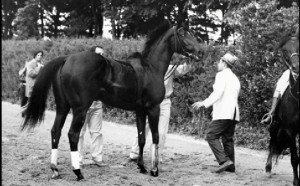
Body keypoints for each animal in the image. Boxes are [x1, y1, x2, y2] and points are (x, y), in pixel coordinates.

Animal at [21, 20, 202, 180]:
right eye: (183, 33)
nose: (199, 52)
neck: (151, 68)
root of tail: (67, 59)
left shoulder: (140, 111)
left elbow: (141, 138)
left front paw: (142, 167)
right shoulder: (153, 108)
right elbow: (155, 137)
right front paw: (154, 170)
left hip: (63, 107)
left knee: (55, 132)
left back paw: (55, 169)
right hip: (80, 109)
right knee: (72, 134)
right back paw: (78, 172)